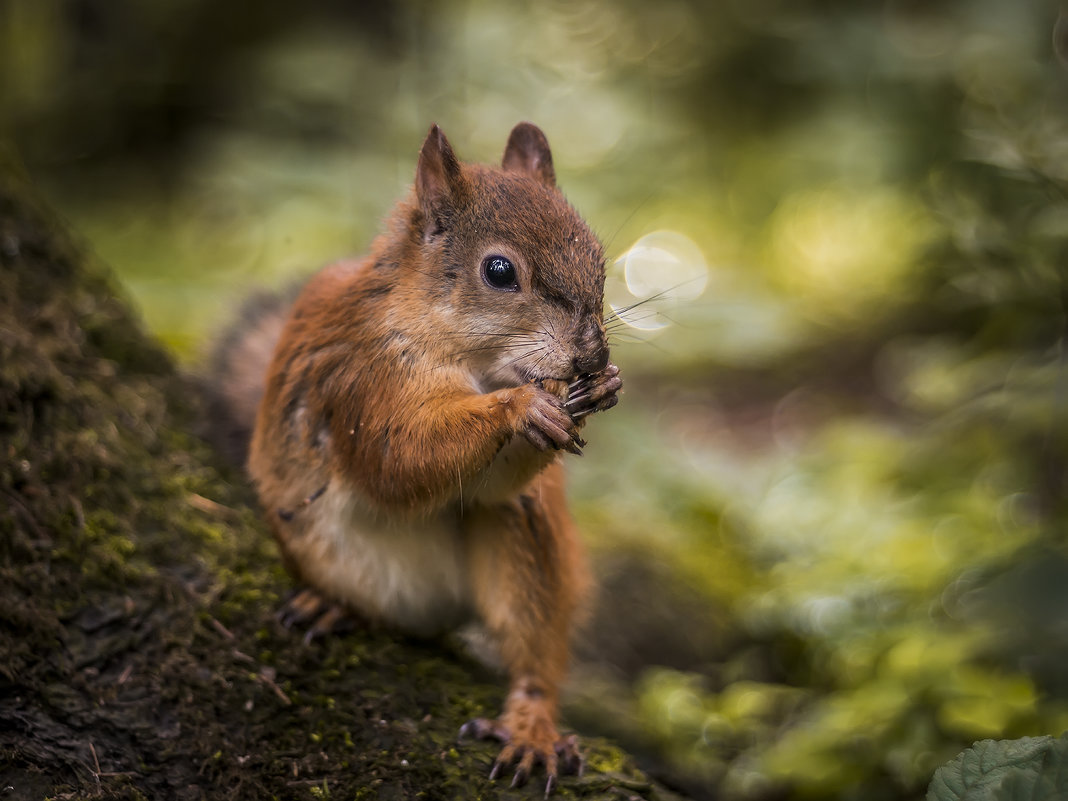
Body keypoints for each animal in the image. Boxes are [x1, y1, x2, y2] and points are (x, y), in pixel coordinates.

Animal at [209, 122, 623, 794]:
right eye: (499, 270)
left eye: (599, 260)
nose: (593, 356)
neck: (473, 359)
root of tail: (433, 608)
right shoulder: (362, 376)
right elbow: (396, 460)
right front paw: (521, 408)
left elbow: (485, 488)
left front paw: (604, 387)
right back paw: (330, 605)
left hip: (528, 546)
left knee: (531, 646)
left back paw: (532, 726)